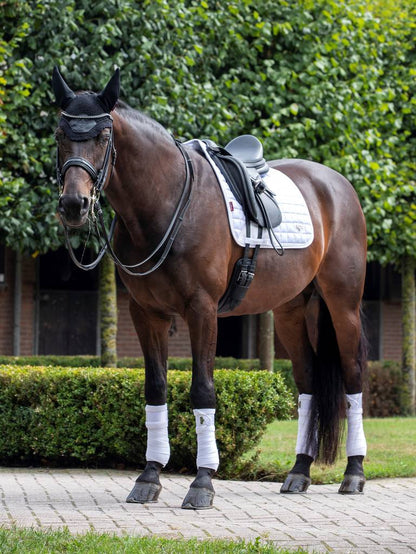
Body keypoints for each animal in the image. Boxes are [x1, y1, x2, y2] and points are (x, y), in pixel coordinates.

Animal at [51, 69, 368, 508]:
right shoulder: (146, 313)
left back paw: (353, 473)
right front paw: (149, 476)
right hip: (290, 311)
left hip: (343, 304)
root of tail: (337, 184)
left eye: (102, 135)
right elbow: (155, 388)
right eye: (60, 134)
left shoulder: (201, 311)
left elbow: (203, 391)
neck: (166, 203)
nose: (74, 205)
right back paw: (299, 471)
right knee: (307, 382)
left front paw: (202, 481)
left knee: (353, 375)